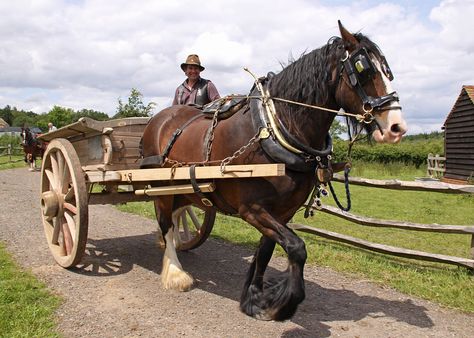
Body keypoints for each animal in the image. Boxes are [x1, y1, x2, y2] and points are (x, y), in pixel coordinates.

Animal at [141, 21, 408, 322]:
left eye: (387, 69)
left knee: (176, 217)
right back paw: (175, 272)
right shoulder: (252, 208)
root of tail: (159, 119)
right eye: (363, 69)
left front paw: (255, 298)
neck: (274, 128)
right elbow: (297, 248)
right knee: (165, 223)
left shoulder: (283, 211)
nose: (396, 127)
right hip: (159, 187)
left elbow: (266, 252)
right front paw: (284, 304)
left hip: (183, 191)